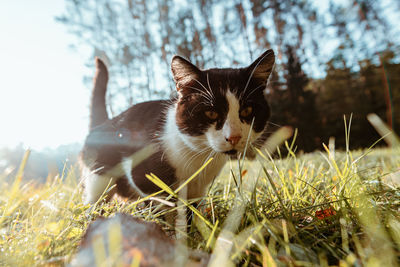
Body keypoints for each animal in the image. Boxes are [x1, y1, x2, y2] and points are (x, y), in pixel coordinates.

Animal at [81, 49, 276, 205]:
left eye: (247, 110)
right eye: (211, 113)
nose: (234, 136)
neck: (200, 155)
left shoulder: (199, 190)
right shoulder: (143, 173)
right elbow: (161, 204)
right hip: (99, 176)